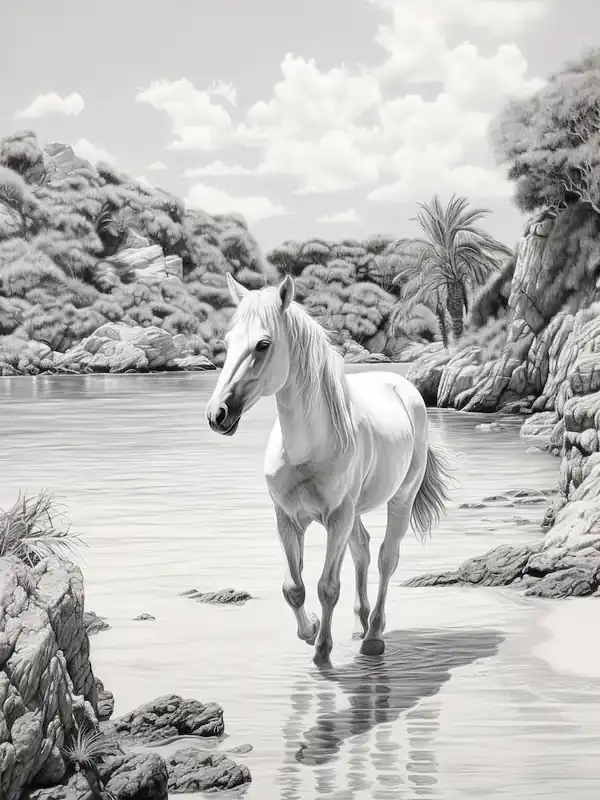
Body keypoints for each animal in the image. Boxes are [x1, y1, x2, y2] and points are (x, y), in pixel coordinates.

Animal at [206, 274, 452, 667]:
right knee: (363, 550)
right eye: (227, 343)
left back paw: (373, 636)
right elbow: (293, 587)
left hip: (399, 499)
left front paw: (322, 651)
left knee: (386, 559)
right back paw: (361, 624)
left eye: (263, 344)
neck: (306, 449)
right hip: (355, 512)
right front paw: (310, 632)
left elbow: (327, 587)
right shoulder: (287, 518)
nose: (217, 415)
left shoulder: (337, 518)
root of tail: (402, 386)